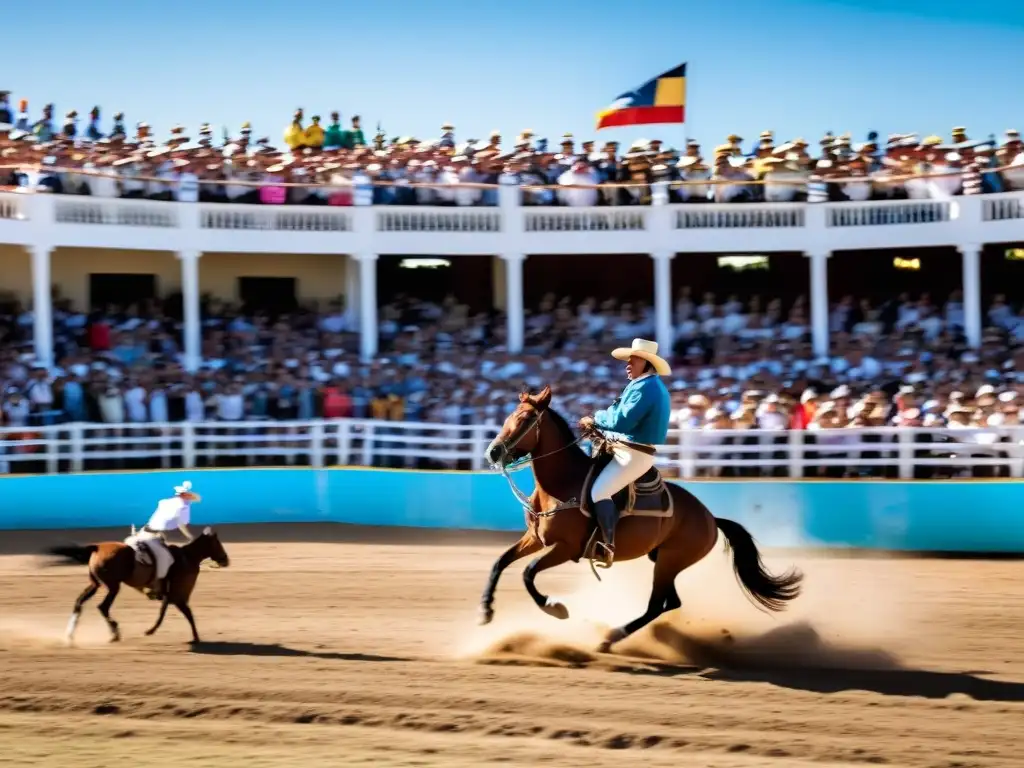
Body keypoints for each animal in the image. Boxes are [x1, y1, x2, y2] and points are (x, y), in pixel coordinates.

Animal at [46, 528, 230, 647]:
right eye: (218, 543)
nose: (225, 560)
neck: (187, 558)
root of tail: (97, 547)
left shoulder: (170, 596)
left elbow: (169, 612)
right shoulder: (177, 597)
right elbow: (183, 614)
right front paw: (195, 638)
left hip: (95, 584)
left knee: (79, 602)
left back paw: (70, 636)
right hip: (113, 586)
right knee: (103, 607)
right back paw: (115, 634)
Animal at [479, 387, 798, 651]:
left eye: (524, 419)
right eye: (508, 416)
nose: (493, 451)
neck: (563, 484)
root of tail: (710, 517)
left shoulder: (566, 548)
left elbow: (528, 572)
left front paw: (554, 607)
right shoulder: (535, 538)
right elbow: (500, 562)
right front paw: (485, 611)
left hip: (670, 561)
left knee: (656, 605)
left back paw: (611, 637)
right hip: (664, 561)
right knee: (671, 602)